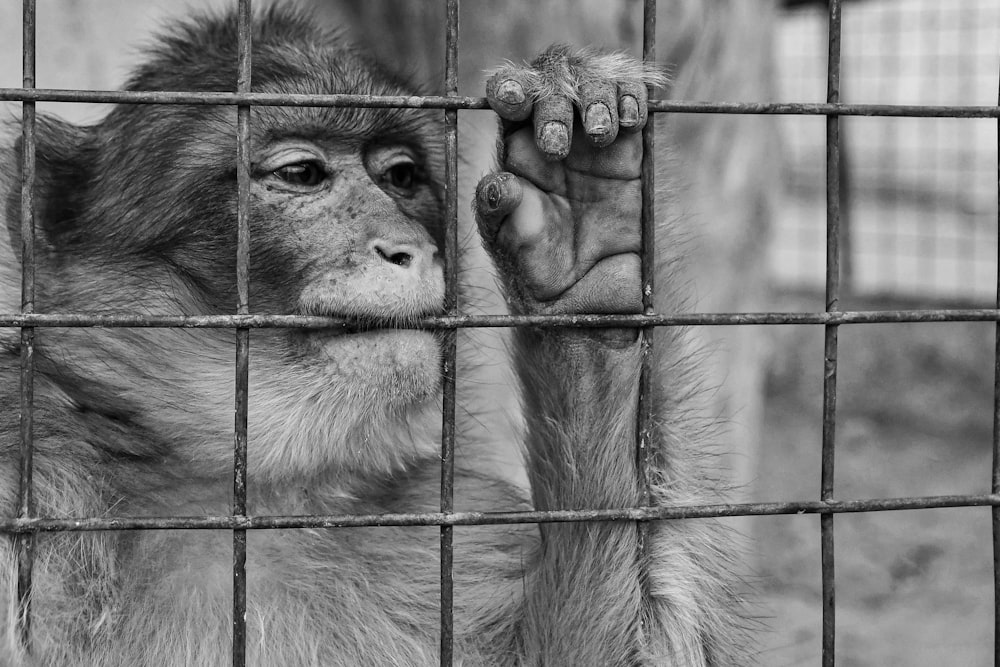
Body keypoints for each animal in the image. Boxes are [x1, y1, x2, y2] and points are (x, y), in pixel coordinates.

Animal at [0, 5, 748, 667]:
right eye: (302, 174)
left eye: (402, 177)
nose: (409, 247)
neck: (266, 491)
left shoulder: (449, 530)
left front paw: (586, 249)